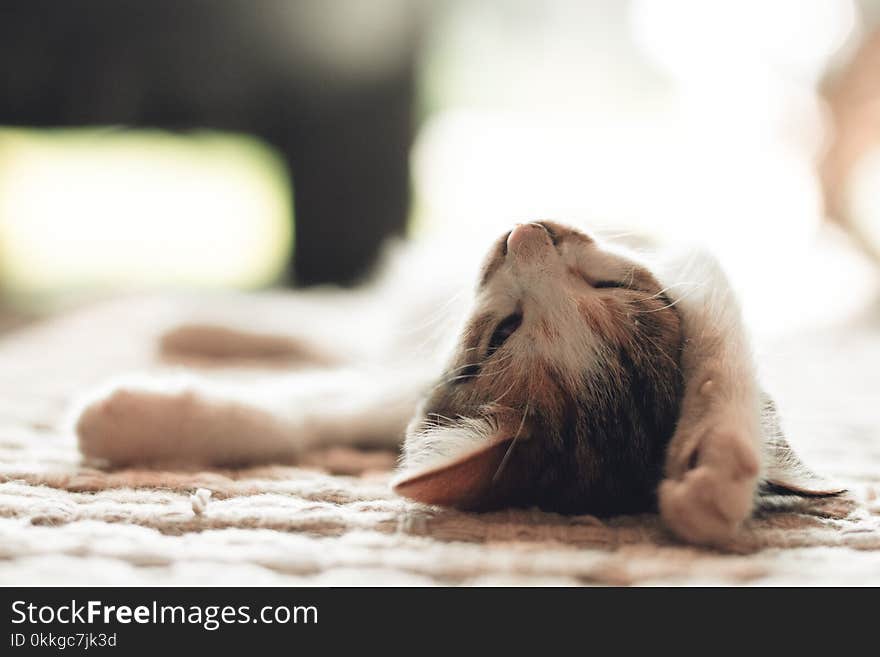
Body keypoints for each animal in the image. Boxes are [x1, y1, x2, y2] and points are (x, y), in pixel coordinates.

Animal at [72, 220, 844, 544]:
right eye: (505, 329)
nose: (526, 232)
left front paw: (715, 472)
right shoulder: (685, 249)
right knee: (340, 323)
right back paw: (195, 322)